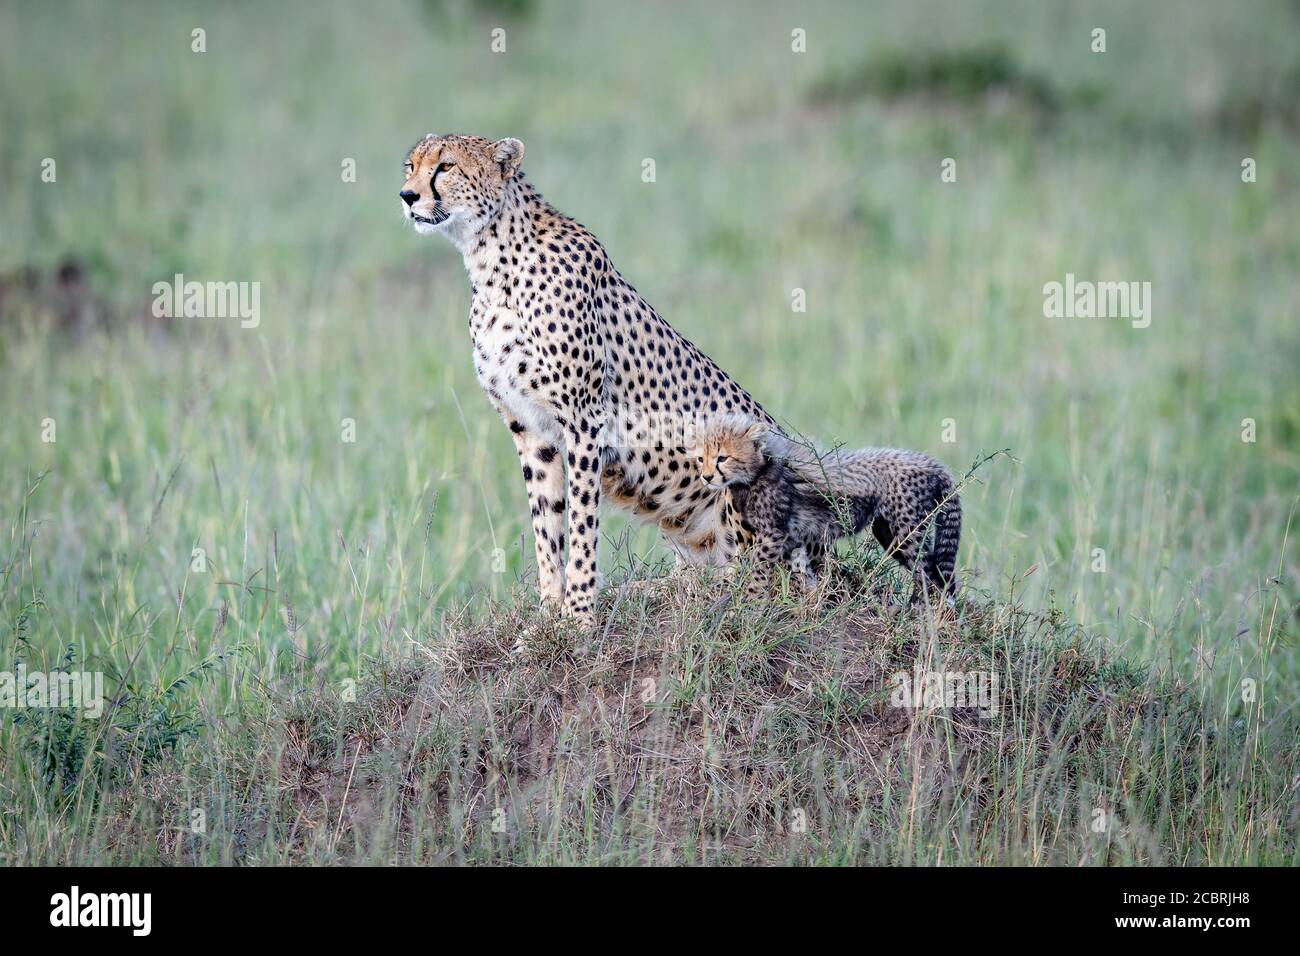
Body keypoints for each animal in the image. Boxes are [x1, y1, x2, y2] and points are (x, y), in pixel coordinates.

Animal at [397, 134, 769, 629]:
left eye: (445, 167)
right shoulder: (529, 428)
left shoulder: (584, 419)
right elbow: (546, 523)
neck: (490, 260)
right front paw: (548, 611)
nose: (407, 196)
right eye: (410, 167)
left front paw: (579, 614)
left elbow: (581, 522)